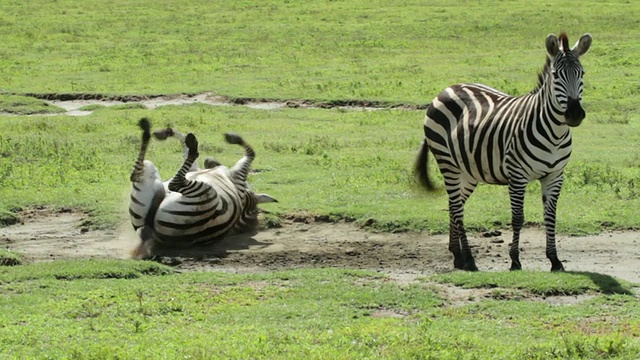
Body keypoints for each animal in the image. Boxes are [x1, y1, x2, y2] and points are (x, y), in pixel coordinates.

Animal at [129, 119, 276, 258]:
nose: (210, 160)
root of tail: (155, 237)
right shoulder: (198, 170)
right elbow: (183, 142)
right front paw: (166, 132)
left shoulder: (238, 178)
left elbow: (251, 153)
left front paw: (233, 138)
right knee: (138, 174)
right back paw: (148, 130)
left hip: (207, 194)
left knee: (170, 182)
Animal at [418, 33, 592, 272]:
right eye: (556, 75)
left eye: (581, 74)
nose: (574, 114)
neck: (555, 134)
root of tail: (448, 88)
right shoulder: (517, 175)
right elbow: (518, 218)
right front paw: (515, 261)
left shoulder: (555, 176)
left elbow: (551, 217)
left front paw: (555, 260)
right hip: (447, 163)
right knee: (457, 208)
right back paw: (469, 259)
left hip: (468, 171)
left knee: (455, 205)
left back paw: (457, 255)